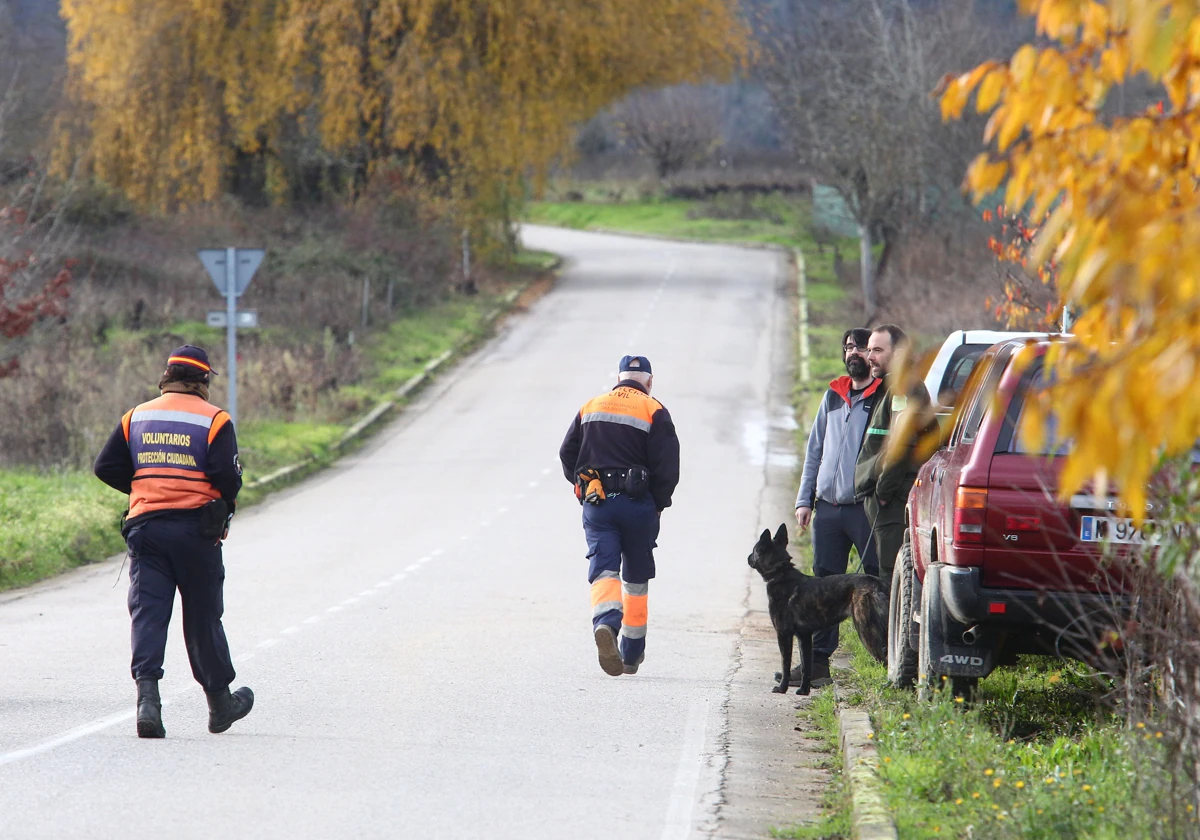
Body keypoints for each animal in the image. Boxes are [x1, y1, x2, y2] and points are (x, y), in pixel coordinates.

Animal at [744, 525, 888, 696]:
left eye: (754, 550)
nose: (747, 557)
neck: (780, 572)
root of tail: (877, 583)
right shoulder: (804, 637)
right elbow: (807, 666)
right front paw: (803, 690)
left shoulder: (784, 634)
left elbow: (785, 665)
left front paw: (782, 688)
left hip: (866, 631)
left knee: (885, 661)